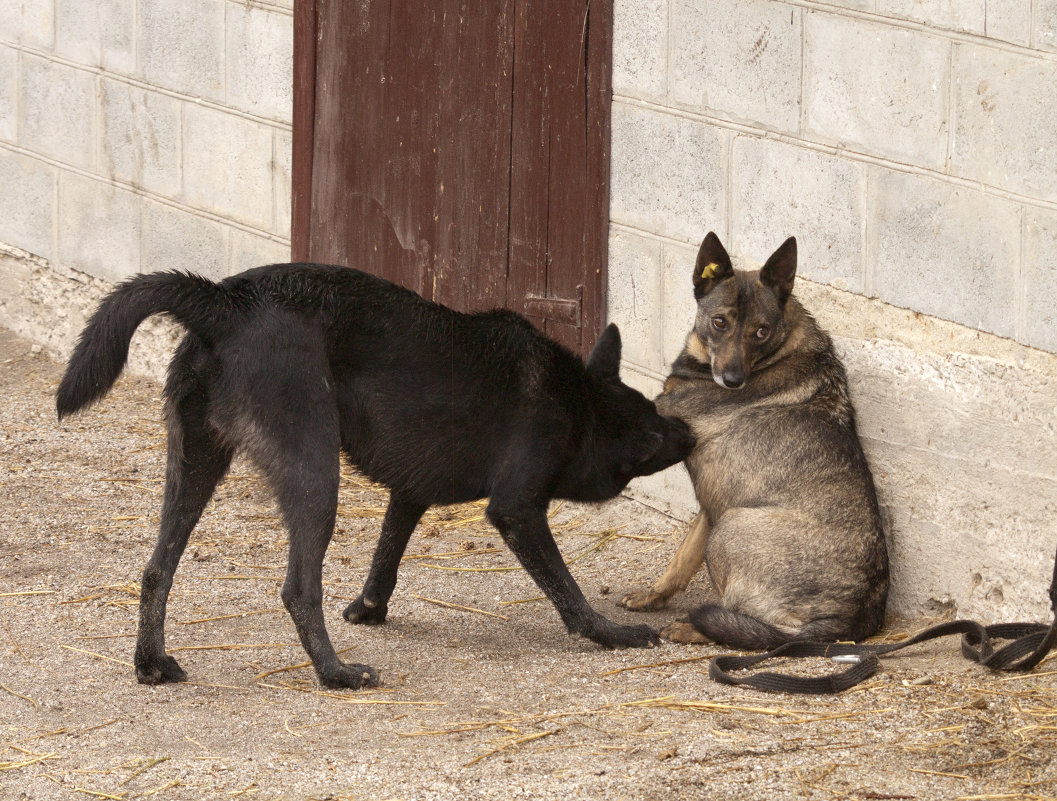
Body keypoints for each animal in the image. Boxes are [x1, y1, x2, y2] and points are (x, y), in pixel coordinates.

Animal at [57, 265, 693, 688]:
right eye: (653, 433)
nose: (688, 431)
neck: (579, 402)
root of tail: (225, 302)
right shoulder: (517, 508)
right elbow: (567, 590)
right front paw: (610, 633)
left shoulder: (408, 496)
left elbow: (386, 555)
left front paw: (368, 608)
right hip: (314, 473)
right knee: (298, 589)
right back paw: (334, 672)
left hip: (194, 466)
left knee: (155, 570)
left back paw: (151, 663)